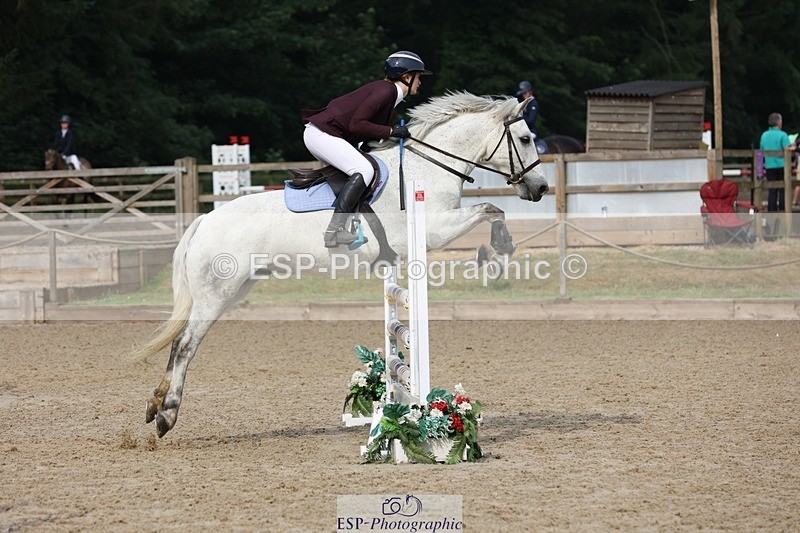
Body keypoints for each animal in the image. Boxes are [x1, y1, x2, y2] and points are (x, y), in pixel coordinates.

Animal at [130, 91, 550, 438]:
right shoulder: (435, 228)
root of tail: (203, 220)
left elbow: (491, 209)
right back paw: (167, 414)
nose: (541, 188)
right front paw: (498, 250)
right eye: (525, 139)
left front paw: (496, 252)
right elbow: (490, 209)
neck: (428, 167)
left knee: (180, 344)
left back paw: (153, 405)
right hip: (217, 294)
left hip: (232, 289)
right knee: (185, 345)